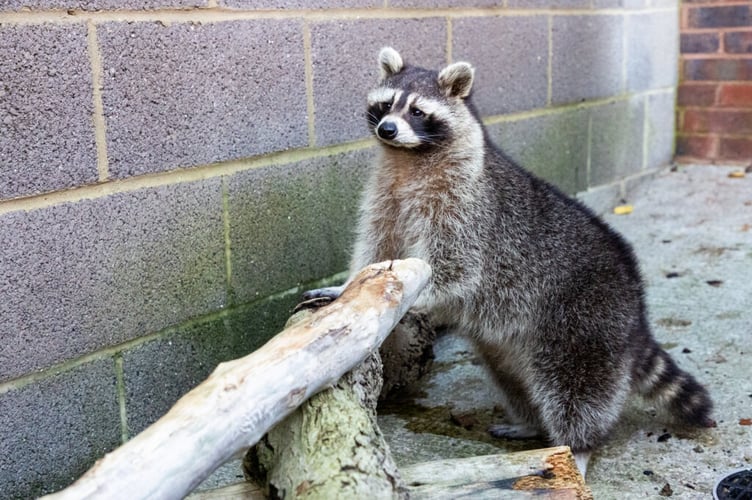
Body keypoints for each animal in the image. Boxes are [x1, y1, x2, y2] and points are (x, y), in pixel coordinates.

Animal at [307, 47, 714, 474]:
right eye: (386, 105)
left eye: (417, 111)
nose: (387, 129)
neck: (410, 158)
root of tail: (635, 303)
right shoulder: (386, 196)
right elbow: (378, 246)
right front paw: (351, 286)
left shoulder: (467, 206)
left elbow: (458, 267)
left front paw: (415, 299)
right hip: (516, 343)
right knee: (514, 379)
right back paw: (531, 423)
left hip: (586, 317)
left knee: (575, 385)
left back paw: (578, 446)